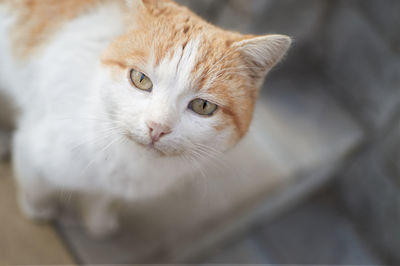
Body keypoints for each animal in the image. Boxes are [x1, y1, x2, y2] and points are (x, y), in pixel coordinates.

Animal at [0, 0, 290, 237]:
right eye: (140, 79)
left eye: (203, 106)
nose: (158, 127)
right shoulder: (35, 147)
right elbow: (36, 186)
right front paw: (39, 210)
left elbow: (101, 198)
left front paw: (97, 220)